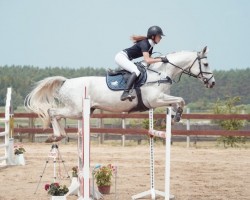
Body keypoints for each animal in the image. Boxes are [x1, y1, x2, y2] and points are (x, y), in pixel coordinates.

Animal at [24, 46, 215, 138]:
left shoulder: (163, 98)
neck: (161, 72)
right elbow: (181, 99)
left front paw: (175, 115)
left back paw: (59, 135)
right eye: (206, 64)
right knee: (52, 112)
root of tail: (65, 82)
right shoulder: (155, 100)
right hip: (76, 110)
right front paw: (176, 115)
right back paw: (57, 135)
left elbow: (177, 102)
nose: (212, 83)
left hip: (82, 111)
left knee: (56, 114)